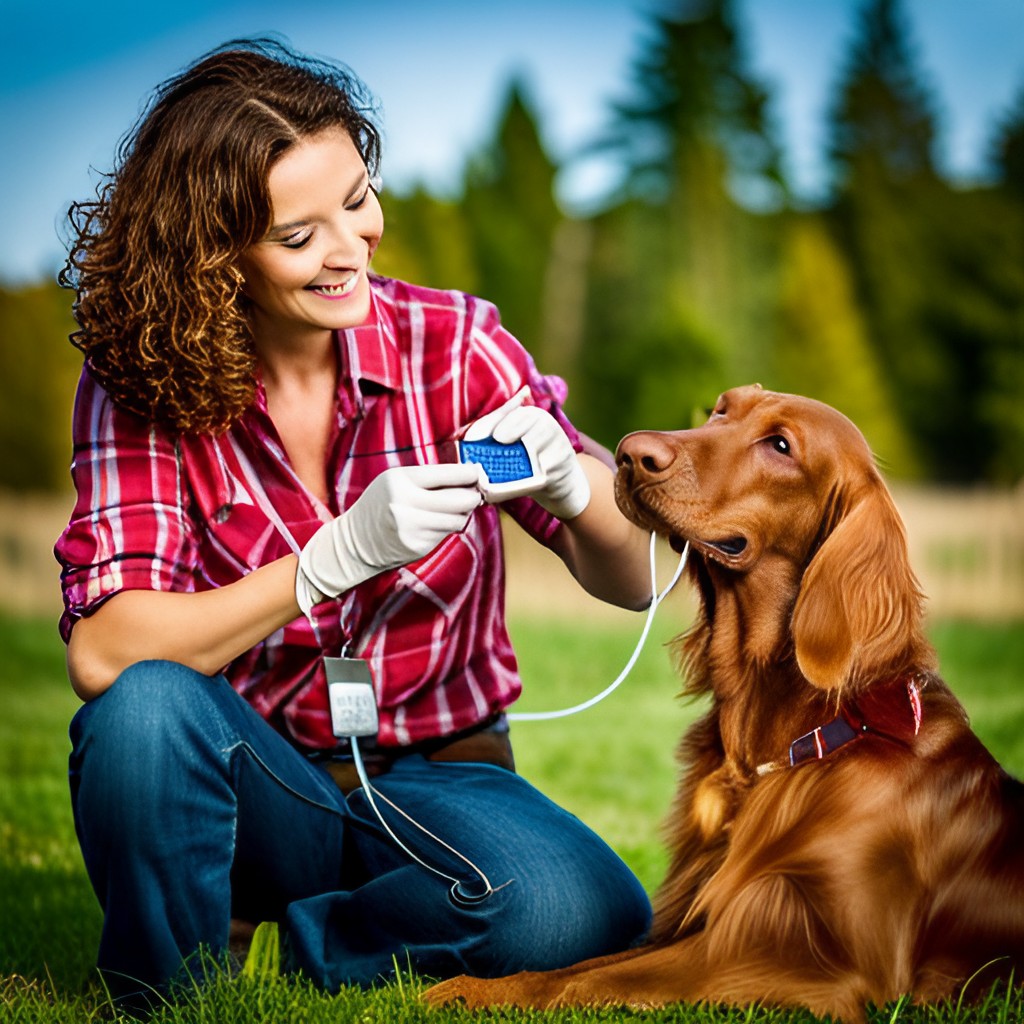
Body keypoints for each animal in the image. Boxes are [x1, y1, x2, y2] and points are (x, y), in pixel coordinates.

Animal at [423, 385, 1024, 1024]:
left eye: (781, 445)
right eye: (719, 410)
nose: (630, 453)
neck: (800, 737)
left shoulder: (824, 964)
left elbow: (579, 983)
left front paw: (473, 991)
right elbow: (586, 965)